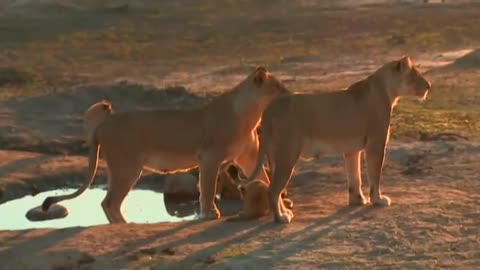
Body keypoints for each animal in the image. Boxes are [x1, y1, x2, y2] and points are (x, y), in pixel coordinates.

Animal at [42, 67, 288, 224]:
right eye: (278, 87)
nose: (290, 94)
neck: (250, 115)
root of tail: (103, 124)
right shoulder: (209, 157)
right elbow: (207, 188)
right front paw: (209, 214)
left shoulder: (248, 157)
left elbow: (267, 182)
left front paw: (282, 209)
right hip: (127, 167)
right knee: (110, 202)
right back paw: (125, 225)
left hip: (118, 169)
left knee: (107, 202)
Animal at [240, 55, 432, 224]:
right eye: (415, 75)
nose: (429, 85)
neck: (387, 90)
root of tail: (269, 109)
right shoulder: (376, 143)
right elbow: (375, 174)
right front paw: (378, 199)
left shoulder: (352, 150)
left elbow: (355, 176)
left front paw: (357, 200)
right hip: (287, 155)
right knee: (273, 190)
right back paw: (281, 218)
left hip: (274, 156)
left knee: (275, 188)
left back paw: (285, 212)